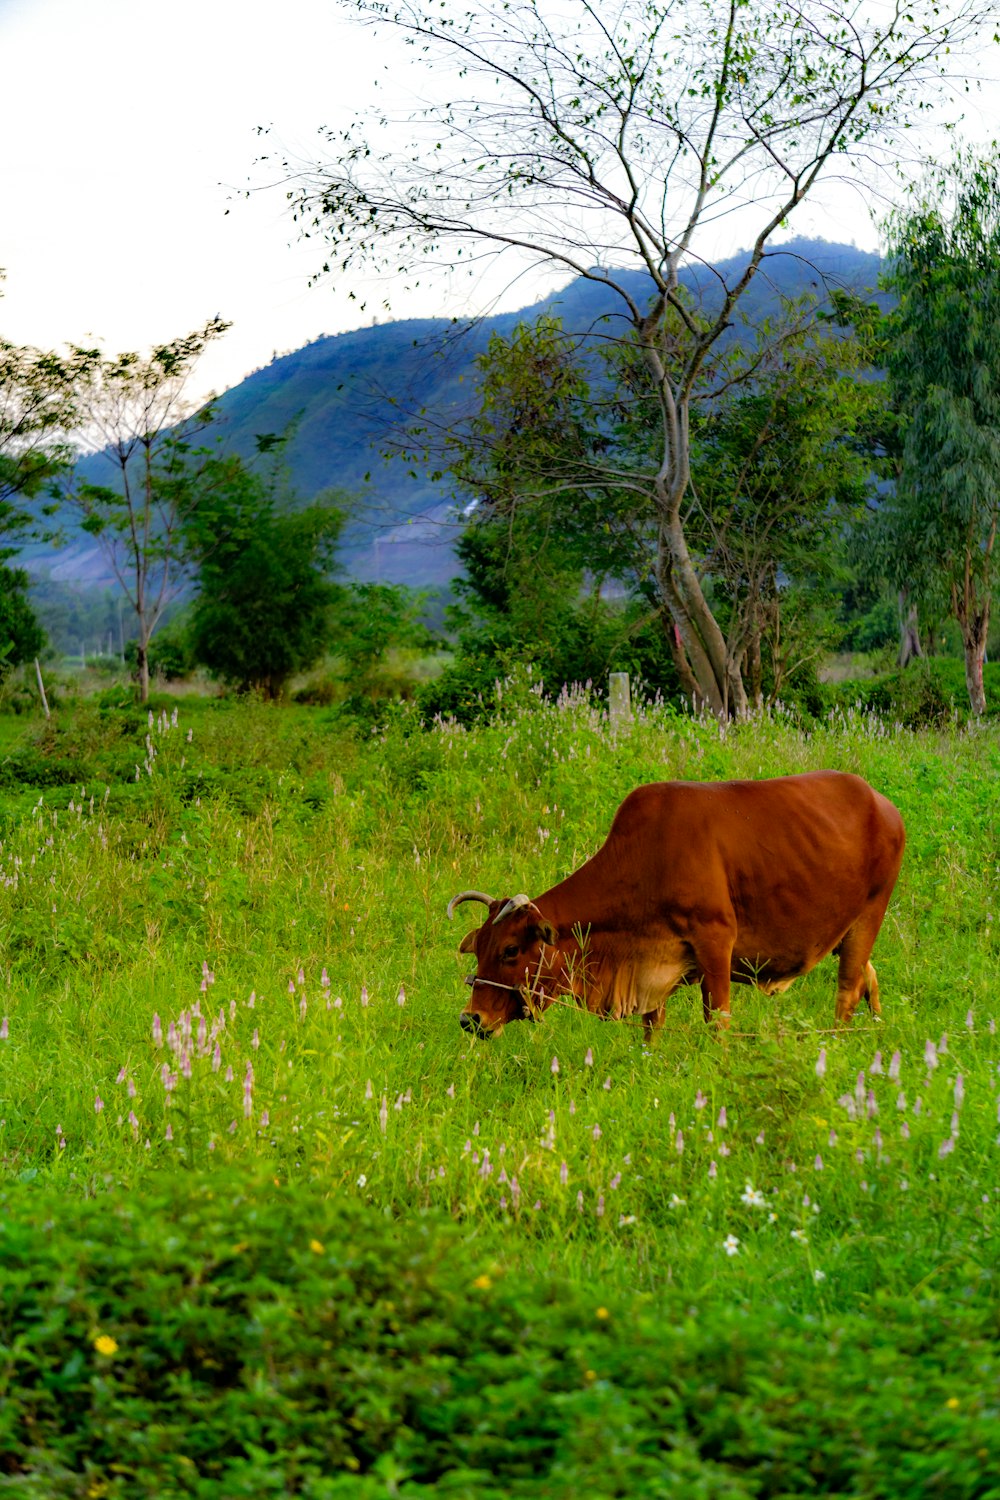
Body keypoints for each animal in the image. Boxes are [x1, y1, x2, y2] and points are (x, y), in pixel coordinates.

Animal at [449, 768, 905, 1038]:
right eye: (479, 950)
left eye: (510, 950)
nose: (471, 1019)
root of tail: (881, 802)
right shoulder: (652, 964)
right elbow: (652, 1025)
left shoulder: (716, 944)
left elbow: (717, 1022)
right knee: (867, 978)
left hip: (868, 917)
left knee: (847, 992)